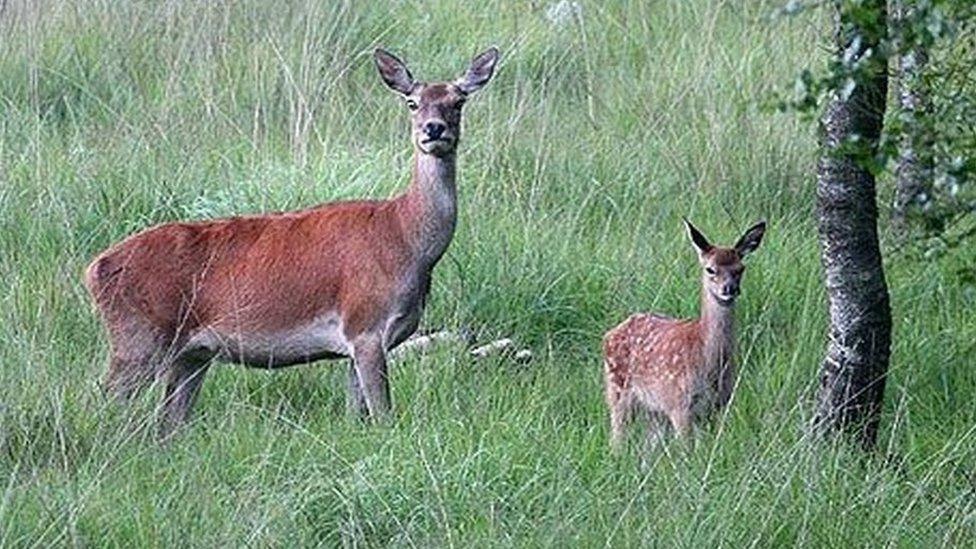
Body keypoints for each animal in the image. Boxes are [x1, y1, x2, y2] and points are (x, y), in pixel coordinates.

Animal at [82, 47, 504, 436]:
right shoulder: (365, 324)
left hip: (191, 354)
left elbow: (357, 414)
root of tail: (94, 269)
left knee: (169, 421)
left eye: (458, 101)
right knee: (106, 398)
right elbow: (383, 413)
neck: (406, 240)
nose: (433, 129)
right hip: (139, 336)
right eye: (412, 102)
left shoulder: (355, 344)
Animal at [604, 216, 772, 452]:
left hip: (655, 409)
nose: (729, 289)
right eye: (710, 269)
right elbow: (687, 450)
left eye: (740, 268)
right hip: (617, 390)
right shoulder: (680, 405)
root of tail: (611, 333)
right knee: (616, 437)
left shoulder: (719, 405)